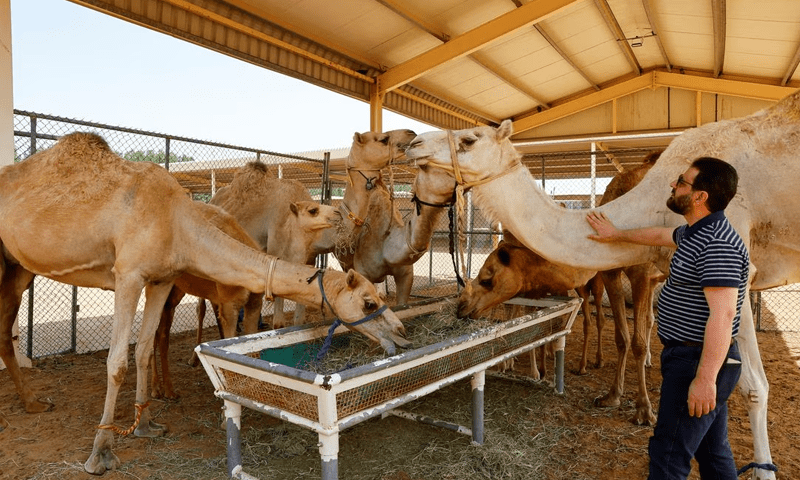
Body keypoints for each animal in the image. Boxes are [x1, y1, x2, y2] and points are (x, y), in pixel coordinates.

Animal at [0, 132, 409, 475]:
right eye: (369, 302)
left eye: (380, 297)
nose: (402, 332)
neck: (178, 223)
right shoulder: (128, 275)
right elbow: (116, 362)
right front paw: (101, 452)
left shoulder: (161, 278)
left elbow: (142, 349)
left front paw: (147, 425)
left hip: (19, 267)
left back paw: (33, 402)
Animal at [405, 92, 800, 478]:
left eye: (469, 139)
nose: (413, 142)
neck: (656, 206)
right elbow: (630, 337)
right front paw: (613, 396)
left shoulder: (731, 267)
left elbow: (753, 387)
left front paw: (644, 411)